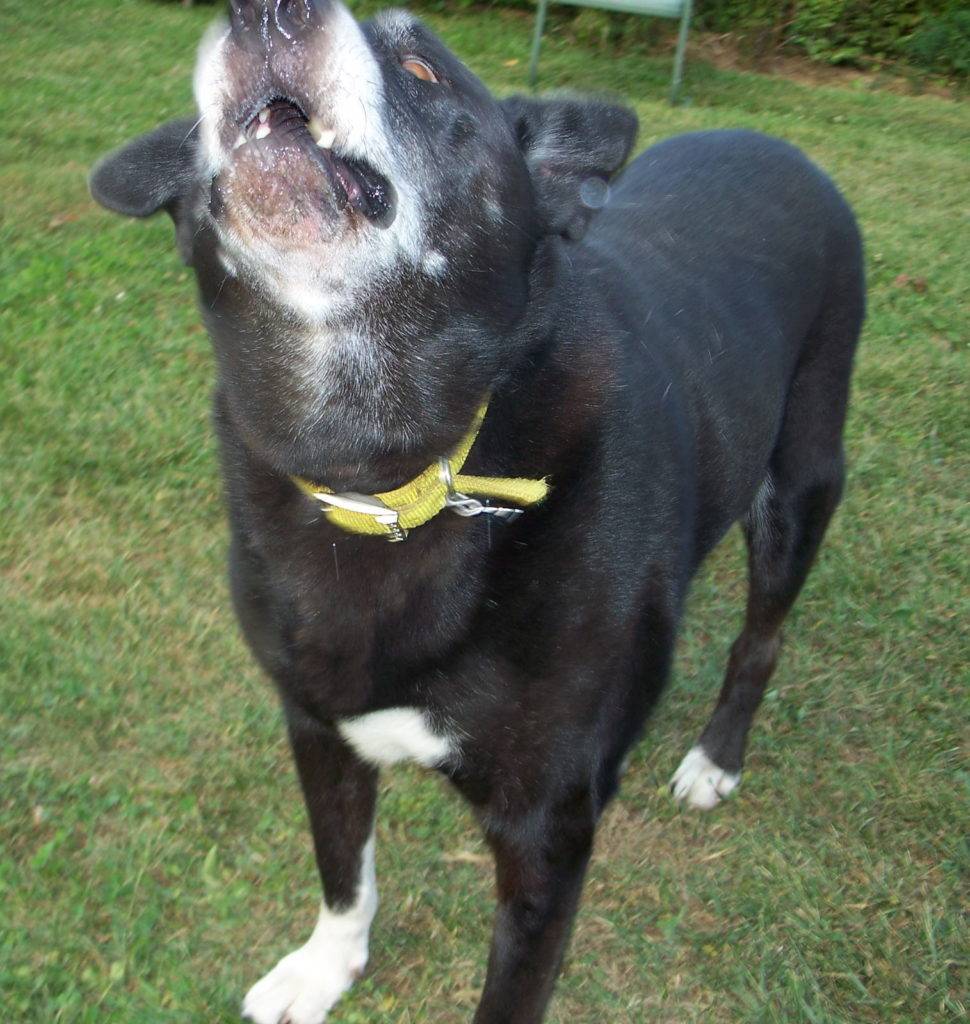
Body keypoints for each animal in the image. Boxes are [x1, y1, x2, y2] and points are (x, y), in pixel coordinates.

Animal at [91, 4, 864, 1019]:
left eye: (423, 67)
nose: (265, 13)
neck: (386, 474)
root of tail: (781, 146)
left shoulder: (548, 826)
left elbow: (509, 989)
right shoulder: (317, 725)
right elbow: (343, 867)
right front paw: (326, 966)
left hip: (801, 479)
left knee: (761, 637)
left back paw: (716, 759)